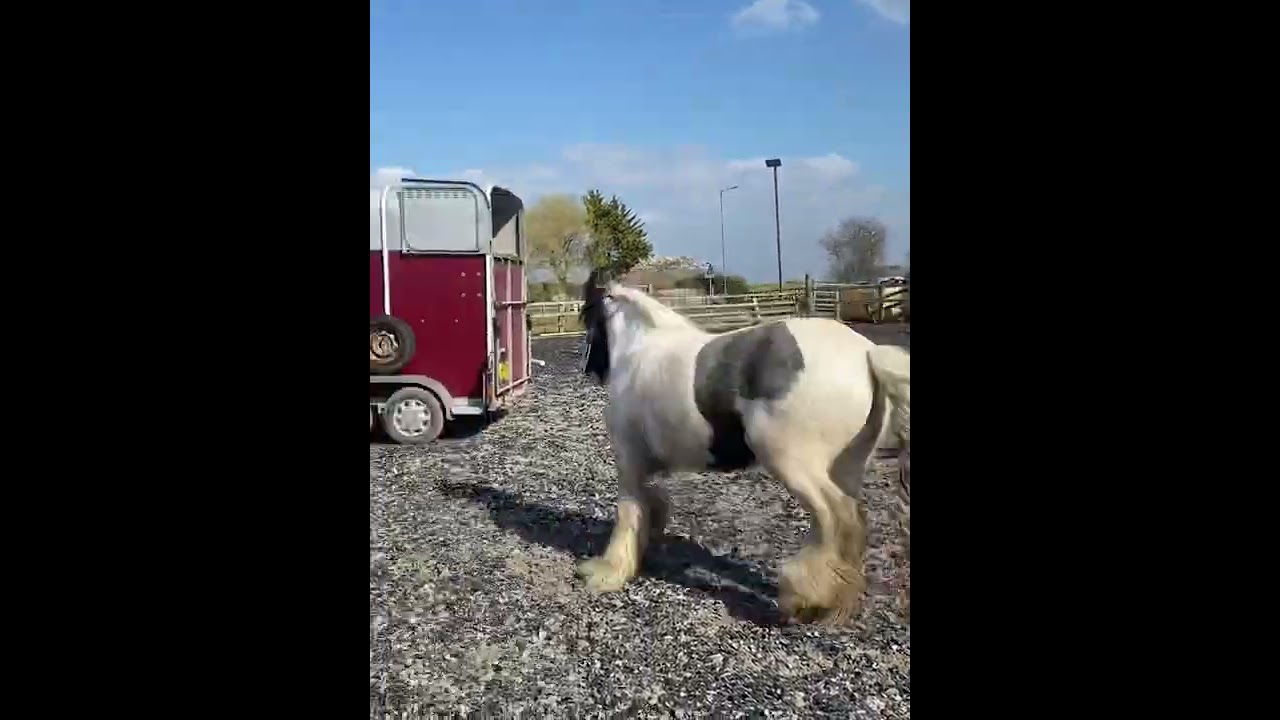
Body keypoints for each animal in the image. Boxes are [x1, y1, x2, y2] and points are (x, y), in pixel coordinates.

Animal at [577, 271, 911, 624]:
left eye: (587, 314)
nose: (589, 368)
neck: (640, 351)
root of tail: (867, 353)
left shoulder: (629, 460)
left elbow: (628, 511)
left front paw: (606, 572)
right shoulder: (648, 466)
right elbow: (650, 502)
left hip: (793, 464)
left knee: (836, 518)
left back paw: (806, 599)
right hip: (843, 468)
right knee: (838, 528)